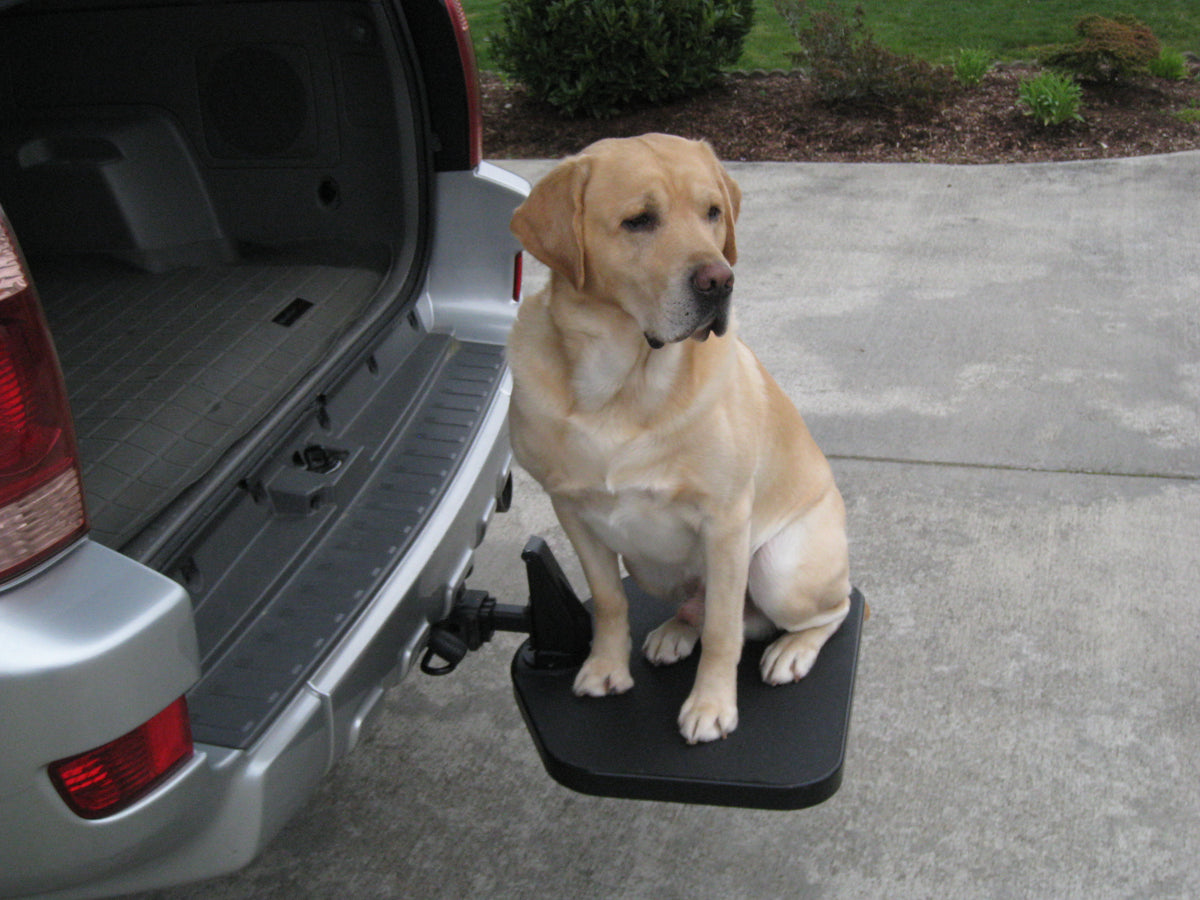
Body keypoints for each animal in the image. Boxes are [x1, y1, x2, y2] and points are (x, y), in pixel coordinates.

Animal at [506, 132, 854, 739]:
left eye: (712, 212)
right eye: (638, 221)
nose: (721, 282)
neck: (623, 387)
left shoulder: (726, 520)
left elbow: (723, 631)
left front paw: (712, 705)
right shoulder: (571, 509)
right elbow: (608, 601)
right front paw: (605, 667)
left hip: (779, 568)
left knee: (827, 611)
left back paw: (792, 651)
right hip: (650, 563)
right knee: (702, 608)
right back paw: (675, 630)